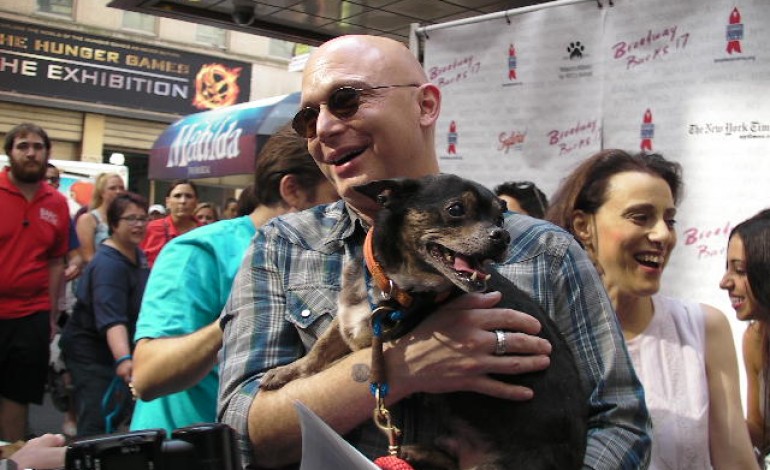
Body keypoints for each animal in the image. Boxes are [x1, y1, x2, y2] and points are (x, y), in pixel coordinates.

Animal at [260, 174, 588, 468]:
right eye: (455, 209)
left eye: (500, 219)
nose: (502, 236)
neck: (394, 283)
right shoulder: (346, 321)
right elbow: (319, 351)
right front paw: (286, 372)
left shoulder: (374, 339)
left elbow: (334, 361)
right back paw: (416, 453)